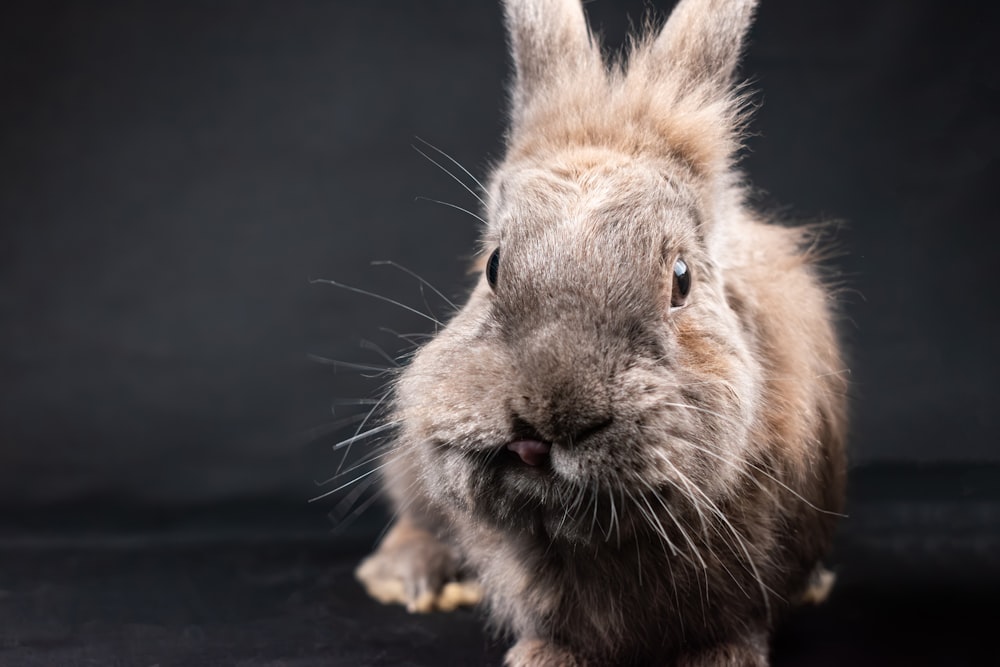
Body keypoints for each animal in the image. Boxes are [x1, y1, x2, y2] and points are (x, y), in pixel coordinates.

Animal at [356, 1, 848, 667]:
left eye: (681, 278)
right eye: (493, 266)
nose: (541, 427)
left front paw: (721, 659)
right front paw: (541, 657)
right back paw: (411, 579)